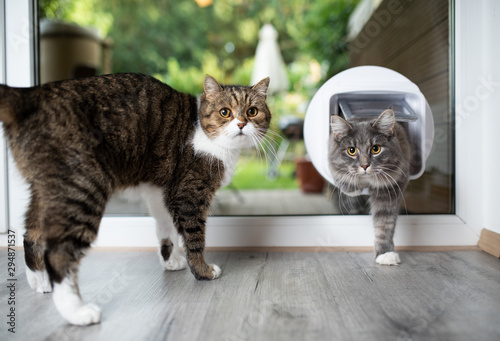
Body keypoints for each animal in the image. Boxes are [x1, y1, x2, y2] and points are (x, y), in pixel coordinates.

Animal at [0, 73, 270, 324]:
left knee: (31, 233)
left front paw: (170, 261)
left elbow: (165, 229)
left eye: (252, 111)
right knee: (59, 253)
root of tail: (31, 94)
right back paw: (77, 312)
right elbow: (194, 239)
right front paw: (203, 271)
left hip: (48, 190)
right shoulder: (188, 195)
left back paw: (40, 281)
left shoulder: (159, 192)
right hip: (82, 188)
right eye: (225, 112)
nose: (241, 124)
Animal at [328, 108, 410, 262]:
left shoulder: (391, 189)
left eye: (375, 149)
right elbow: (344, 180)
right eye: (351, 150)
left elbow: (384, 225)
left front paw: (385, 254)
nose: (365, 165)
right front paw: (355, 188)